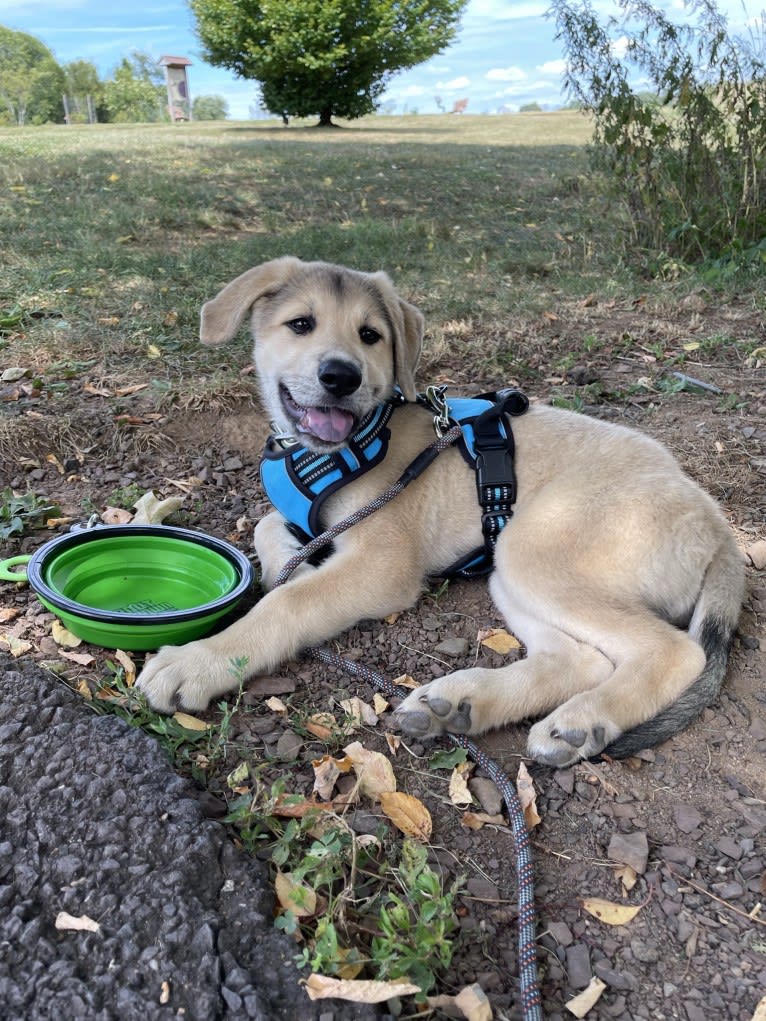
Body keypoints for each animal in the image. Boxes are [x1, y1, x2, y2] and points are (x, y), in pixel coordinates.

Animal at [136, 257, 743, 767]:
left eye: (370, 335)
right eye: (300, 324)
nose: (341, 376)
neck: (344, 447)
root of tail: (718, 527)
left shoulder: (381, 567)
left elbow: (287, 604)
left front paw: (199, 660)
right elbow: (270, 529)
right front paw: (298, 558)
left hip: (537, 543)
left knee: (675, 652)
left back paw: (584, 719)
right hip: (510, 567)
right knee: (581, 660)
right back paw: (466, 703)